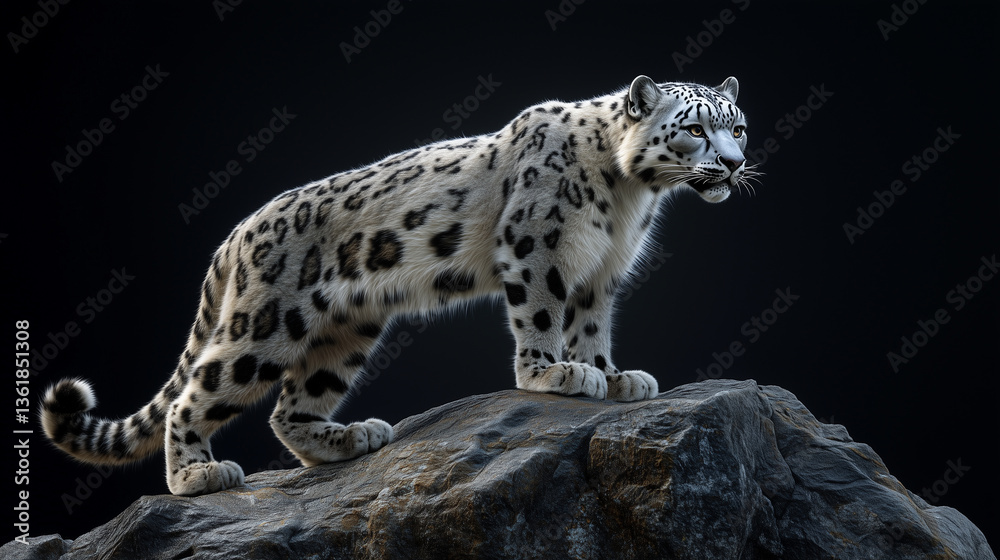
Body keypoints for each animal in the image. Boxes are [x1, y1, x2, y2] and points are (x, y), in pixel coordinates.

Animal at [41, 75, 752, 496]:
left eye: (737, 125)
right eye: (694, 128)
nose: (735, 162)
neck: (630, 197)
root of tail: (238, 233)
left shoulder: (601, 272)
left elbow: (591, 326)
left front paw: (613, 374)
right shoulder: (539, 249)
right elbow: (544, 316)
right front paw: (555, 374)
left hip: (346, 331)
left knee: (290, 407)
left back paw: (348, 440)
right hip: (264, 328)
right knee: (197, 393)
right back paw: (196, 474)